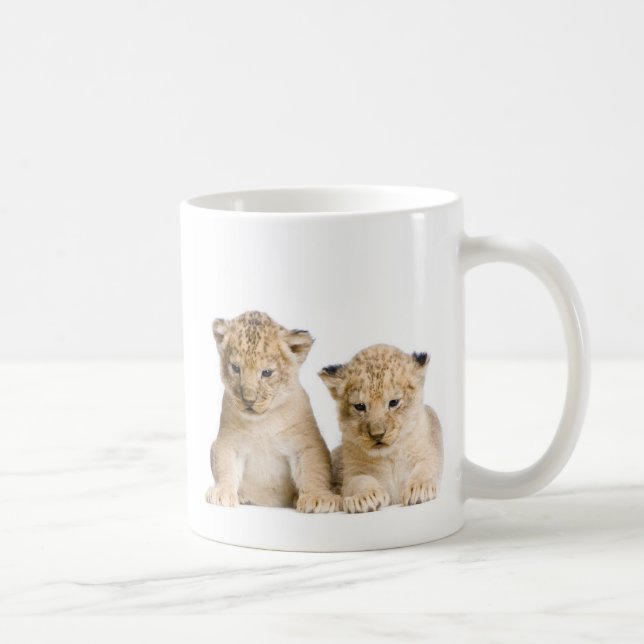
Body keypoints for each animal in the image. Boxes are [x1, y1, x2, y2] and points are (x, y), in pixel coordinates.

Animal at [206, 310, 342, 513]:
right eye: (236, 368)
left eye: (267, 373)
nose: (249, 400)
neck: (263, 422)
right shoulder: (228, 440)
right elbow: (225, 465)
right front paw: (222, 492)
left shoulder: (306, 443)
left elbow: (313, 469)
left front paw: (318, 498)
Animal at [319, 344, 443, 513]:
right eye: (360, 406)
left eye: (394, 402)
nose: (377, 435)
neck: (389, 456)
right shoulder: (352, 472)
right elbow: (359, 481)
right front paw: (366, 498)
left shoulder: (429, 452)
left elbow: (426, 467)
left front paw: (418, 489)